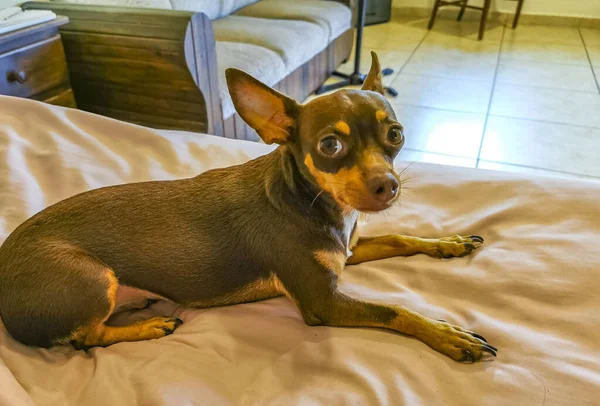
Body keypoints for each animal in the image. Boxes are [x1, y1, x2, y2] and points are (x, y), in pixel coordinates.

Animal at [0, 52, 496, 364]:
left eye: (395, 134)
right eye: (330, 146)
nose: (387, 187)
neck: (314, 203)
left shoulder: (347, 252)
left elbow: (398, 236)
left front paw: (448, 242)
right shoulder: (323, 303)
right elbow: (394, 311)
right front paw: (447, 334)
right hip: (91, 279)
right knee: (87, 339)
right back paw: (149, 328)